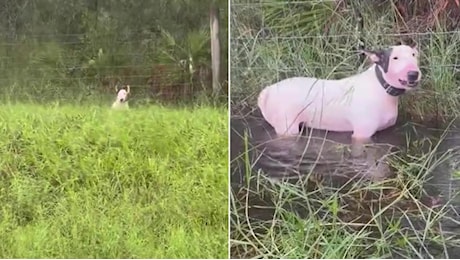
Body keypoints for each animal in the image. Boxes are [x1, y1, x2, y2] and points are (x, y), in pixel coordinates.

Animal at [256, 44, 422, 157]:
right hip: (287, 128)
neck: (382, 87)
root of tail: (268, 91)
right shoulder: (361, 135)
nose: (413, 74)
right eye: (395, 58)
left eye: (414, 55)